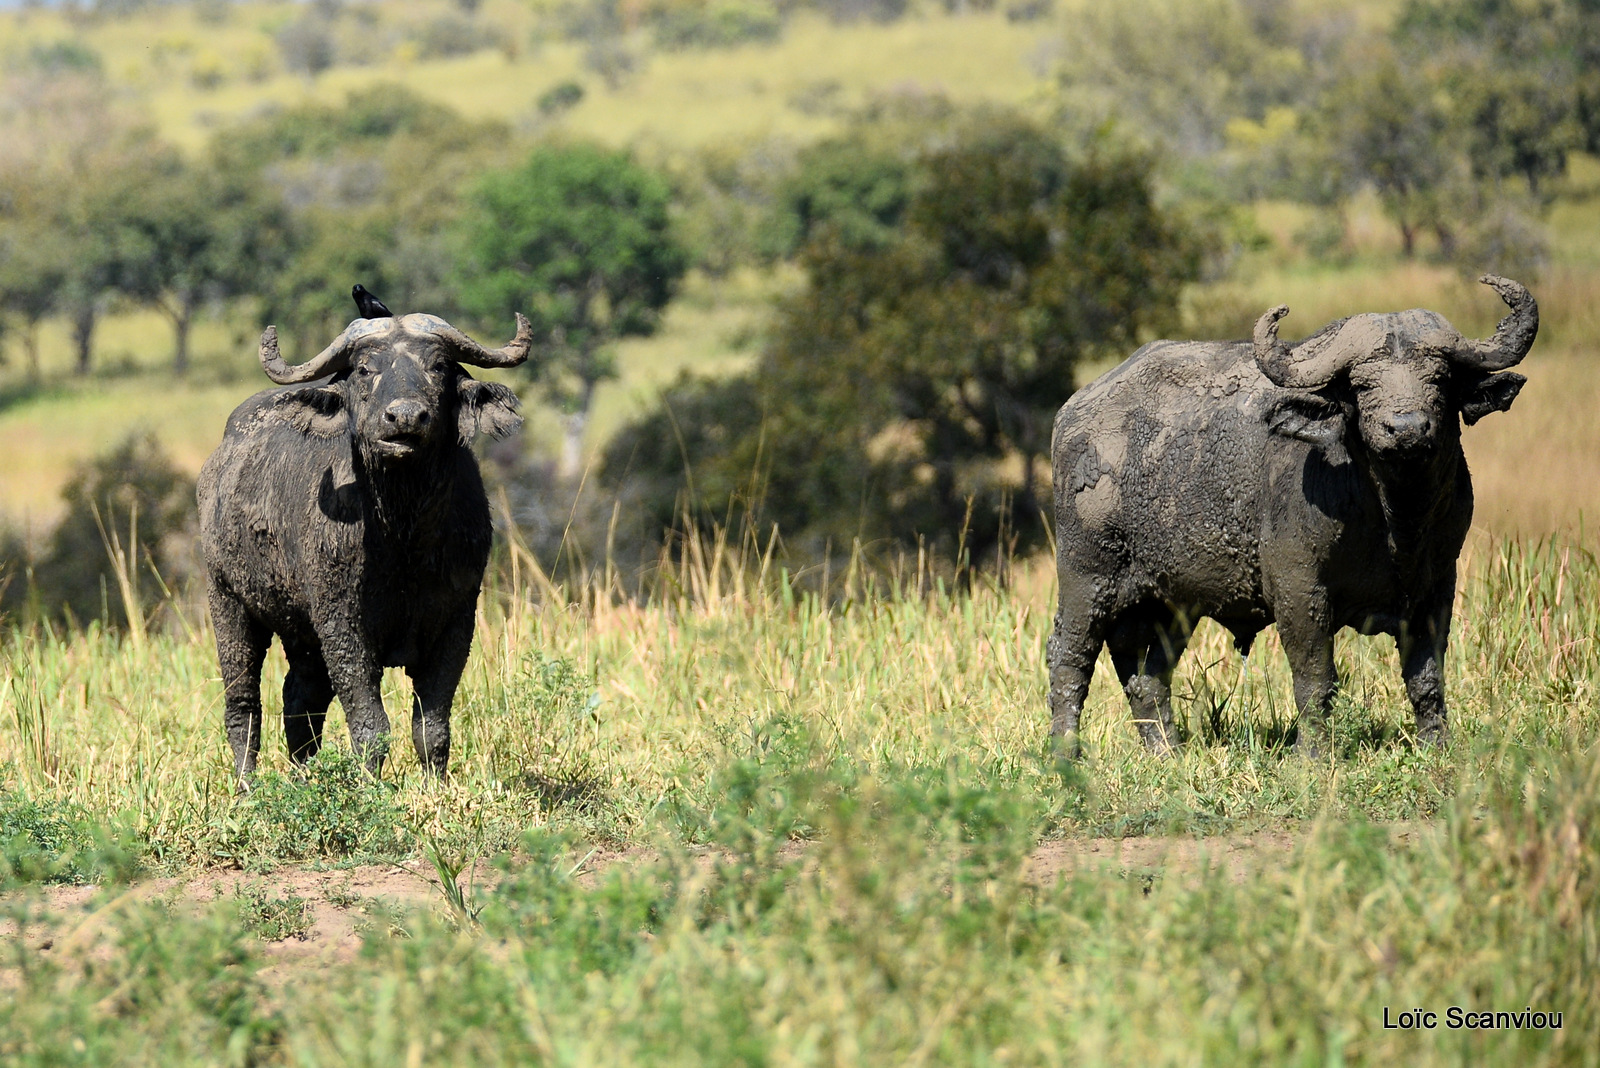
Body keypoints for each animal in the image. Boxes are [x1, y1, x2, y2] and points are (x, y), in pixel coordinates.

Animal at [197, 308, 528, 783]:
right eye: (364, 370)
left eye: (438, 366)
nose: (404, 418)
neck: (402, 533)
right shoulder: (341, 623)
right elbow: (371, 725)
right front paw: (371, 785)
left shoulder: (457, 619)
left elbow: (432, 725)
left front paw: (436, 786)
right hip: (228, 602)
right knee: (243, 703)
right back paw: (247, 785)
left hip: (302, 632)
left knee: (301, 700)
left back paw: (304, 775)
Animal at [1049, 278, 1536, 757]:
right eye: (1363, 385)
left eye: (1438, 378)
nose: (1407, 429)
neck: (1395, 519)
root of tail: (1073, 412)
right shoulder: (1298, 588)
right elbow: (1315, 680)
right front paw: (1311, 755)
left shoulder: (1436, 588)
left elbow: (1427, 679)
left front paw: (1436, 748)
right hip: (1085, 579)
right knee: (1069, 658)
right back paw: (1065, 753)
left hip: (1167, 600)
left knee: (1145, 675)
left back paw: (1167, 752)